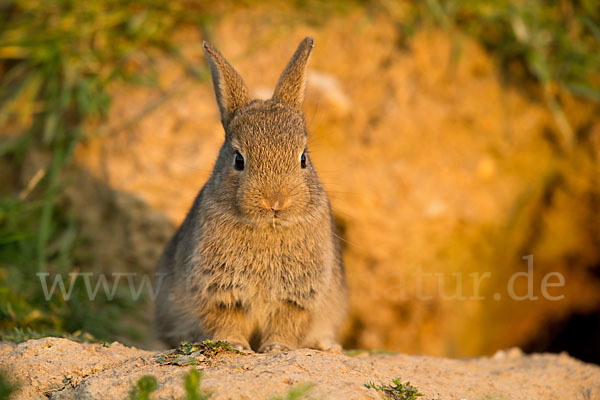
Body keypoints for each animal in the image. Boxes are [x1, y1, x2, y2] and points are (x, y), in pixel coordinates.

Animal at [155, 36, 350, 352]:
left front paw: (277, 347)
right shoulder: (218, 290)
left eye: (303, 158)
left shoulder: (299, 296)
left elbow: (286, 323)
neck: (268, 227)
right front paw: (235, 345)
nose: (276, 202)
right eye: (238, 160)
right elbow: (226, 320)